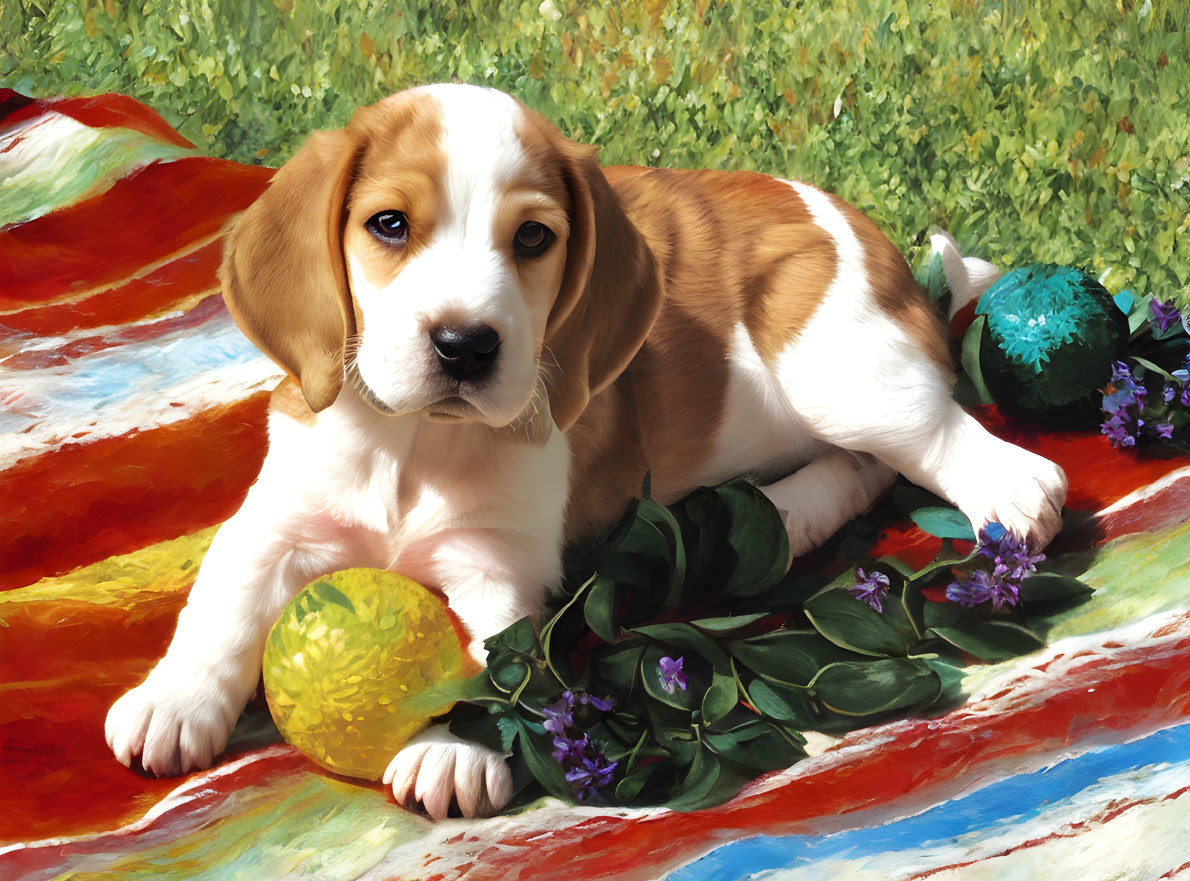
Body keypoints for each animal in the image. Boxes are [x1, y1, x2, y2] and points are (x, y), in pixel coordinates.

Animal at [104, 82, 1071, 819]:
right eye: (388, 225)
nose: (464, 345)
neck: (415, 442)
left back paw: (1008, 495)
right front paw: (176, 699)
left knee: (948, 440)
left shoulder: (501, 569)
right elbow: (222, 603)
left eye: (532, 238)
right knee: (862, 468)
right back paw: (784, 516)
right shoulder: (275, 522)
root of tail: (855, 226)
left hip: (840, 371)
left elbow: (493, 660)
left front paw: (454, 744)